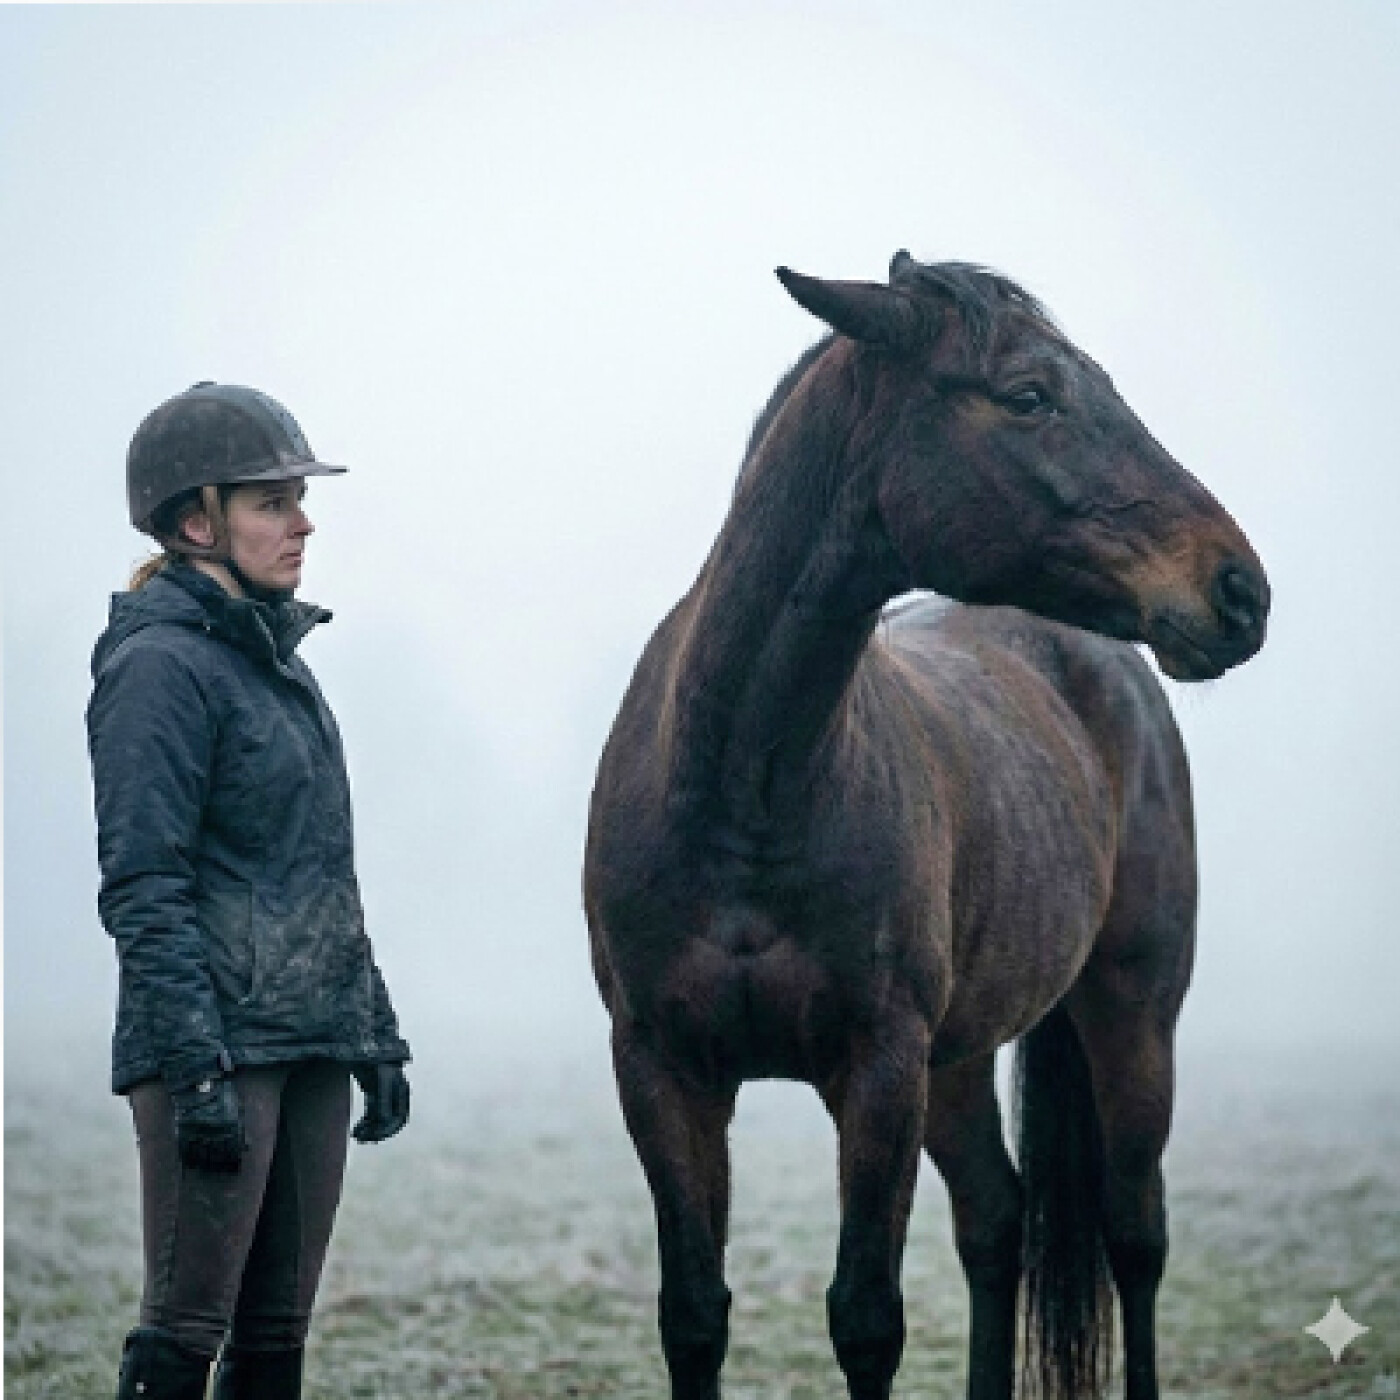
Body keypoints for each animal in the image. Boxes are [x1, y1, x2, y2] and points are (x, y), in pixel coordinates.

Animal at [583, 252, 1268, 1400]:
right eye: (1028, 396)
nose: (1238, 589)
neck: (744, 787)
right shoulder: (661, 1068)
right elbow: (694, 1315)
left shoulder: (879, 1069)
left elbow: (865, 1318)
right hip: (958, 1058)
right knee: (995, 1221)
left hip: (1130, 1014)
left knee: (1134, 1236)